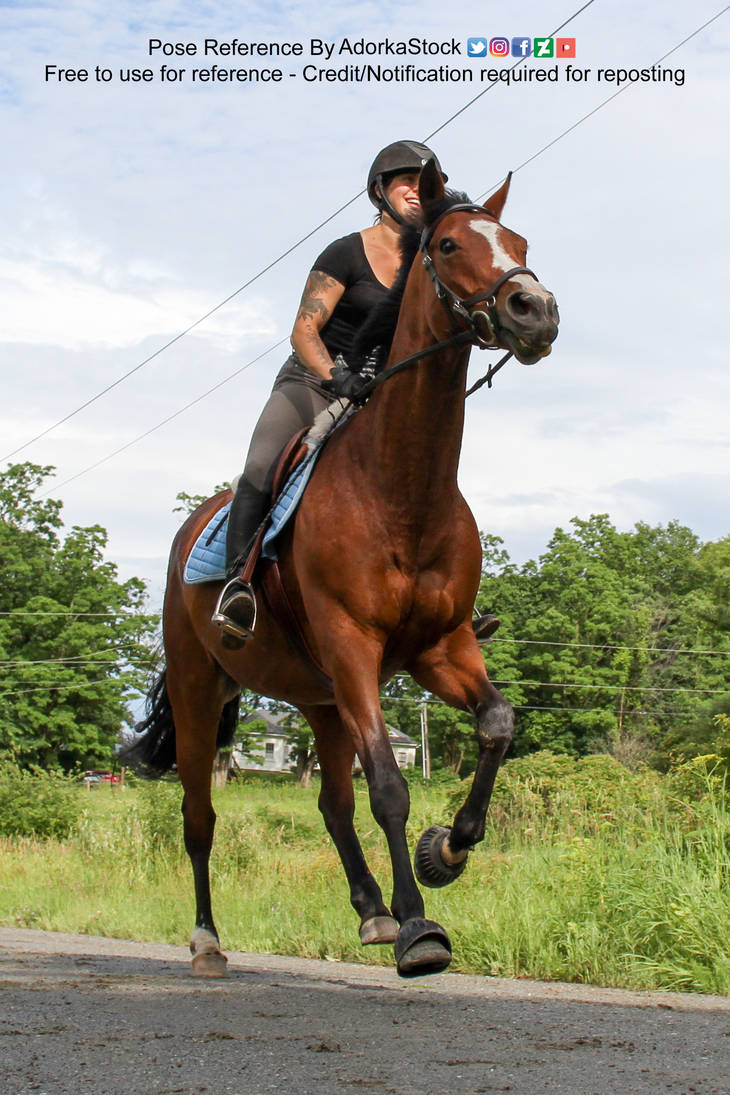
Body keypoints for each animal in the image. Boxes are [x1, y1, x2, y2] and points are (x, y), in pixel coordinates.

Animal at [129, 160, 559, 979]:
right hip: (204, 691)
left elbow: (495, 724)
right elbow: (388, 785)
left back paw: (371, 910)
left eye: (520, 242)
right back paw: (208, 941)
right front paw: (422, 928)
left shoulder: (439, 648)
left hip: (322, 698)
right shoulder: (354, 642)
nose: (536, 309)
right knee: (199, 815)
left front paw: (445, 852)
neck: (401, 485)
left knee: (331, 801)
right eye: (449, 244)